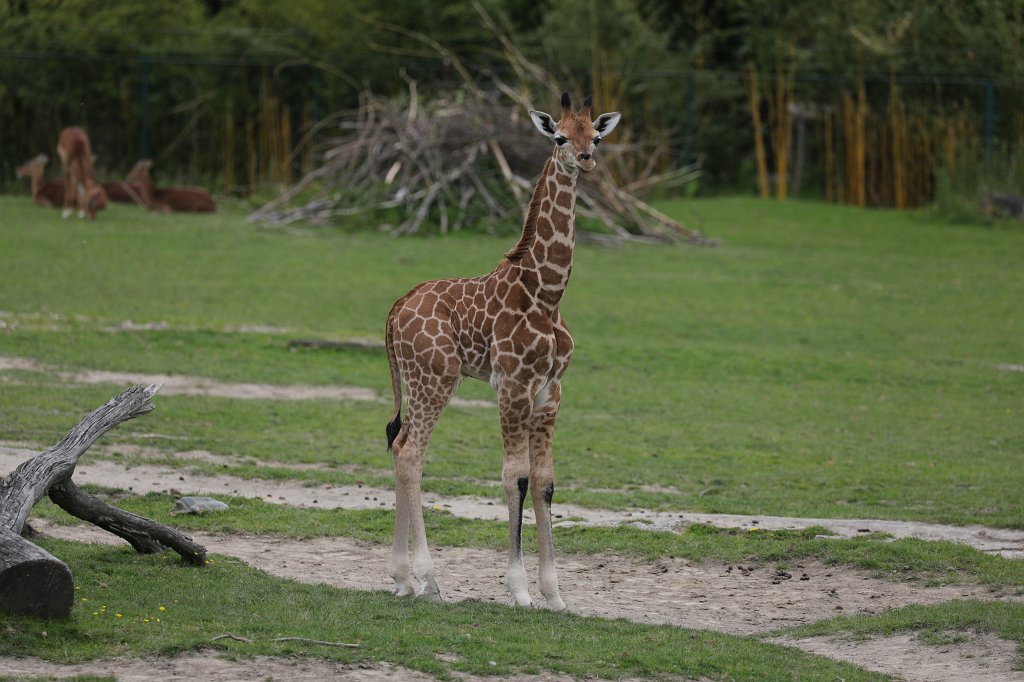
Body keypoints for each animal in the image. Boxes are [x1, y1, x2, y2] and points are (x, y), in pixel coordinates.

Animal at [384, 93, 621, 609]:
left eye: (595, 136)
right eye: (559, 137)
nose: (585, 160)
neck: (548, 294)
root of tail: (394, 311)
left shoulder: (551, 391)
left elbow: (546, 481)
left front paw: (555, 595)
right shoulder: (513, 385)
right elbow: (516, 476)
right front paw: (520, 590)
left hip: (419, 380)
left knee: (398, 444)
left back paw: (403, 579)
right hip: (435, 378)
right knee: (411, 453)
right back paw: (428, 580)